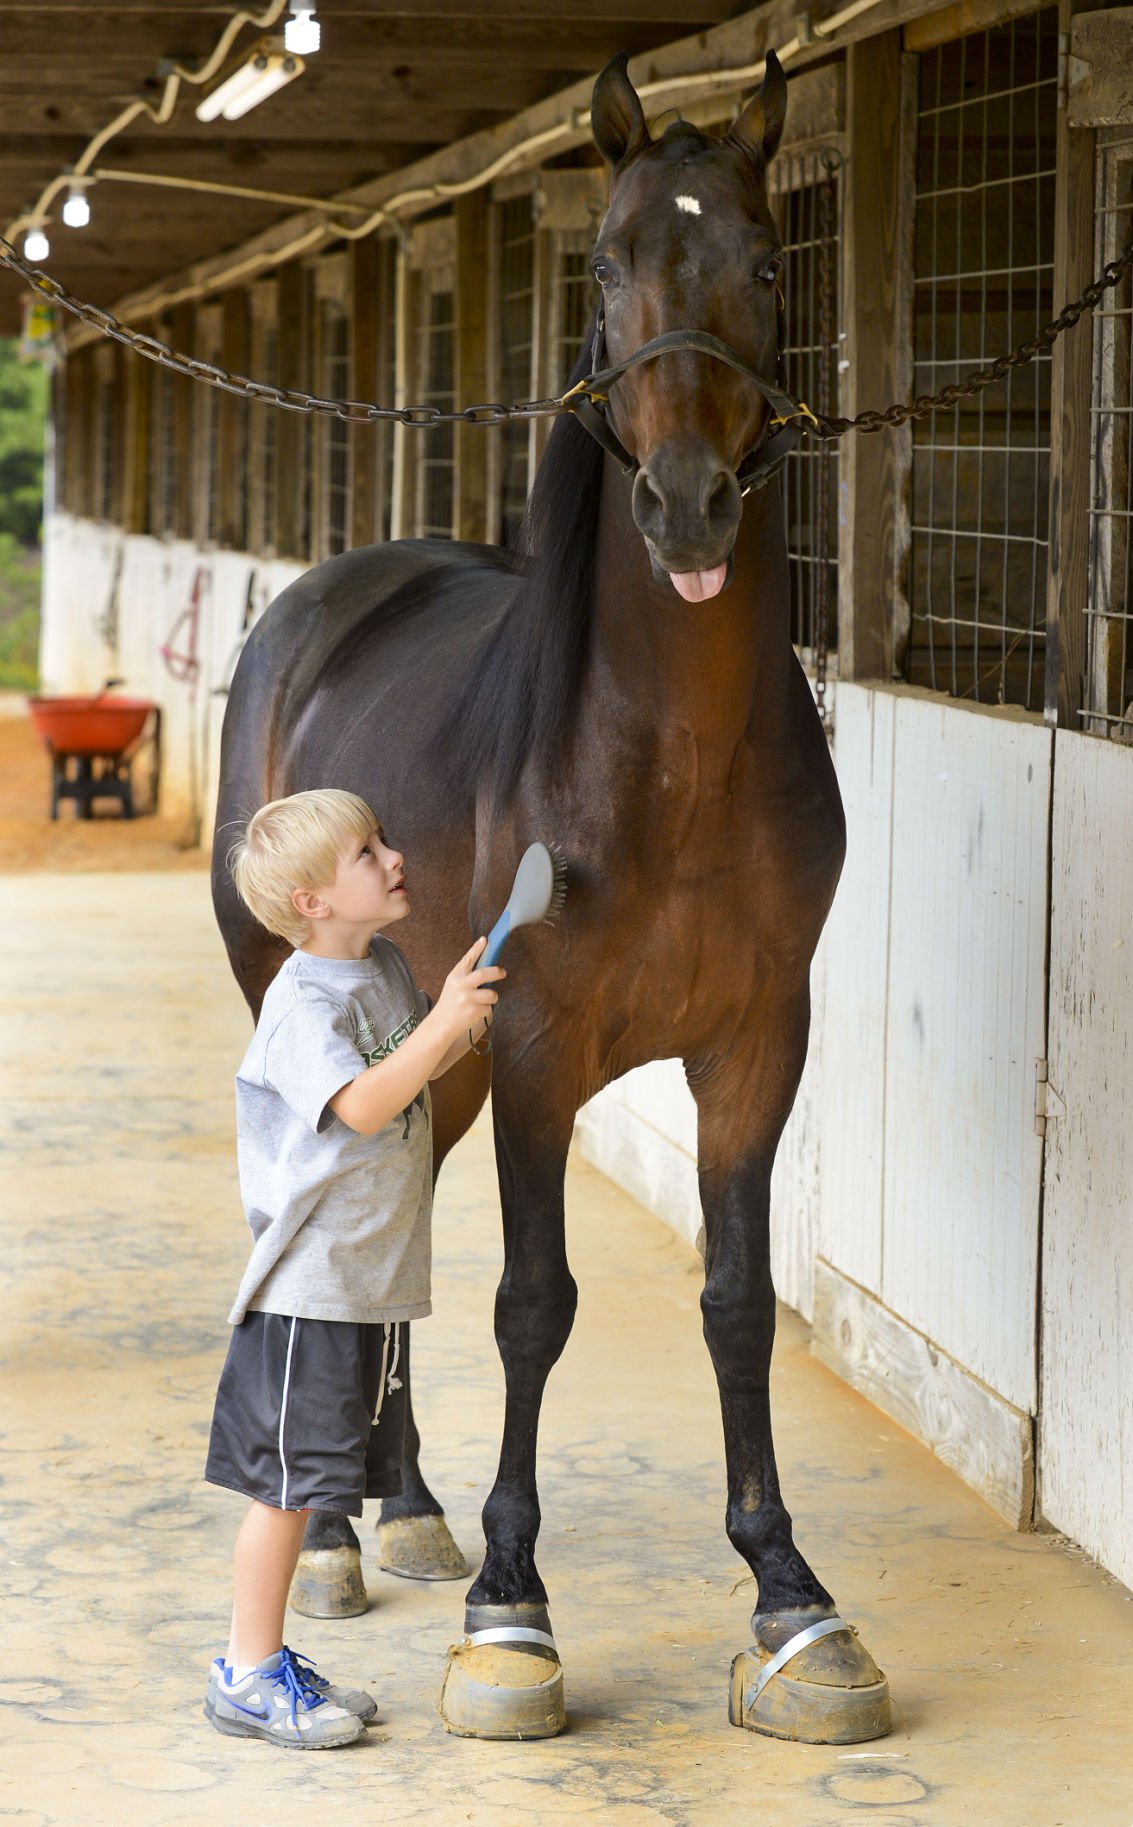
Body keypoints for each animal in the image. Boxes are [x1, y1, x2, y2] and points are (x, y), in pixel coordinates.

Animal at [208, 50, 888, 1746]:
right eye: (604, 267)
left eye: (768, 263)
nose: (689, 506)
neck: (670, 763)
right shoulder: (533, 1043)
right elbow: (532, 1298)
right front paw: (512, 1612)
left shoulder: (754, 1046)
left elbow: (734, 1299)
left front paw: (790, 1594)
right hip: (315, 1010)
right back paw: (335, 1530)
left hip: (422, 1056)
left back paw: (396, 1504)